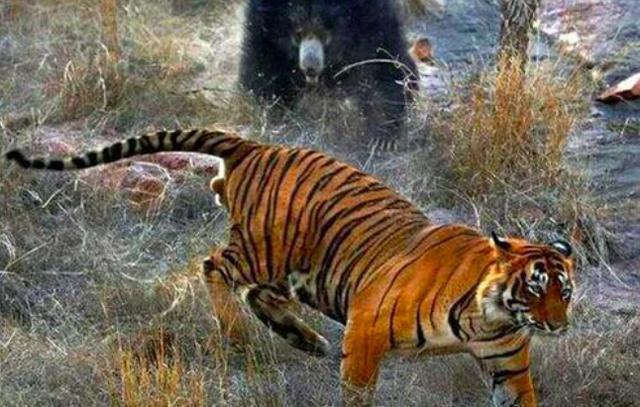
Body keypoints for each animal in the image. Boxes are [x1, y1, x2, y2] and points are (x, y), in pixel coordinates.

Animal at [5, 128, 575, 406]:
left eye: (564, 291)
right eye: (535, 287)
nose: (559, 326)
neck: (491, 315)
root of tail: (255, 145)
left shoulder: (506, 363)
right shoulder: (366, 331)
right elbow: (357, 393)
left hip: (301, 270)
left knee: (259, 293)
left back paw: (305, 339)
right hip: (267, 247)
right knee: (214, 267)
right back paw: (240, 337)